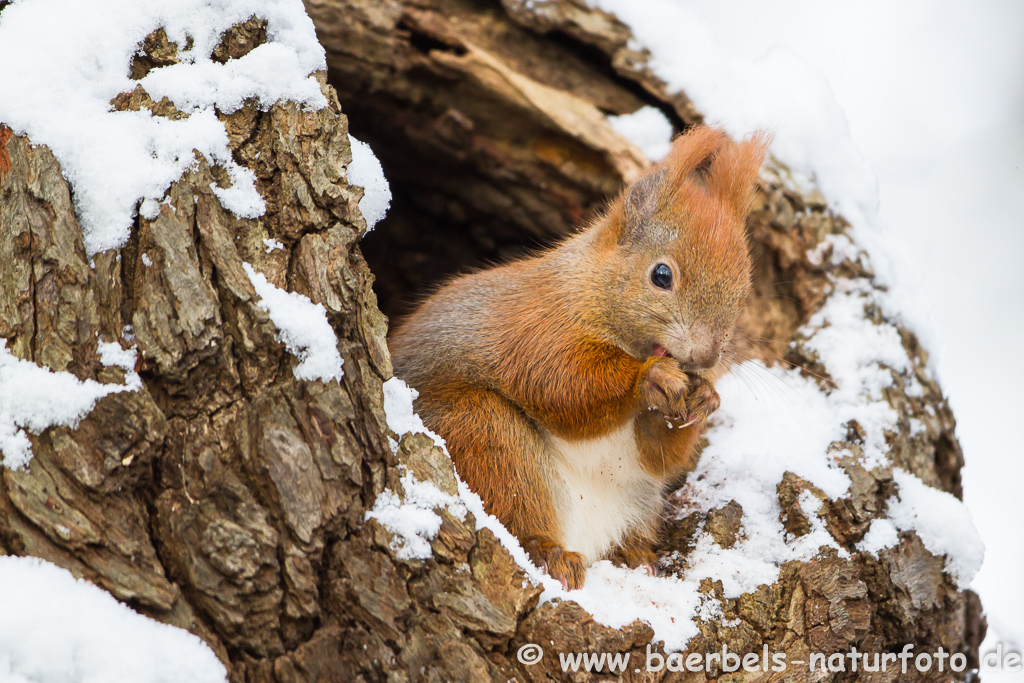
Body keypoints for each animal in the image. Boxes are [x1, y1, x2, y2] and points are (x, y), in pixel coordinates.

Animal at [387, 126, 765, 589]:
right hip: (482, 431)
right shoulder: (535, 328)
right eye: (661, 275)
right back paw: (552, 552)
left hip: (637, 499)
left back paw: (635, 556)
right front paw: (649, 378)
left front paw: (705, 398)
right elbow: (559, 384)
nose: (707, 356)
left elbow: (660, 457)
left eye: (743, 294)